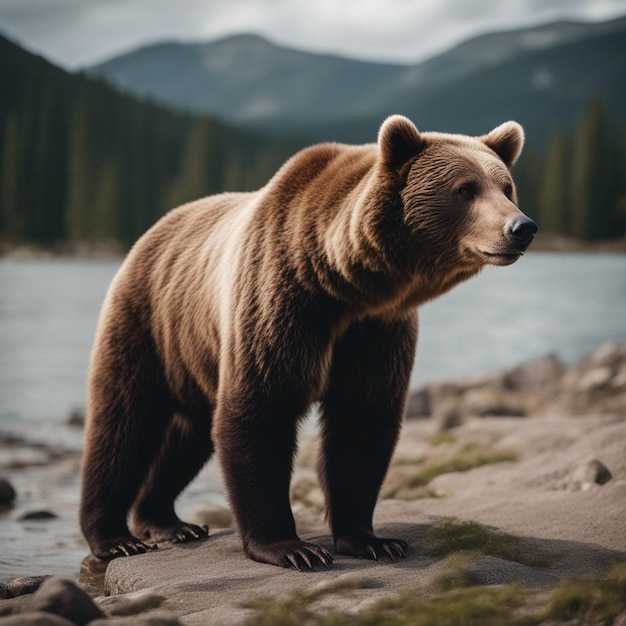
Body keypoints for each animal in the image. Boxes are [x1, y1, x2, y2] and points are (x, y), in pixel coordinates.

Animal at [79, 114, 536, 568]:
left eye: (506, 187)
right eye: (465, 188)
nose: (522, 227)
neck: (343, 284)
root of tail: (151, 233)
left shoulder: (375, 331)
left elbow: (362, 423)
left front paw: (372, 540)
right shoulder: (281, 304)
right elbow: (261, 409)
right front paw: (292, 547)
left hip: (191, 355)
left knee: (187, 436)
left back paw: (166, 521)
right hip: (147, 323)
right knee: (122, 426)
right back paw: (115, 537)